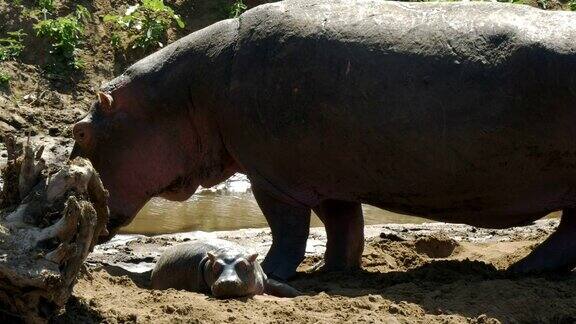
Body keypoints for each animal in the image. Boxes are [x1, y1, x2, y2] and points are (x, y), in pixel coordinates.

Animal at [72, 0, 576, 280]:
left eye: (80, 131)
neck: (186, 94)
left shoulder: (270, 178)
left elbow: (288, 229)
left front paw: (272, 271)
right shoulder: (331, 176)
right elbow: (343, 227)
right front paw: (332, 270)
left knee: (567, 233)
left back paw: (524, 269)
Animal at [148, 238, 302, 298]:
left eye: (244, 265)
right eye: (215, 266)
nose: (227, 282)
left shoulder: (264, 278)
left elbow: (282, 286)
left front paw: (299, 294)